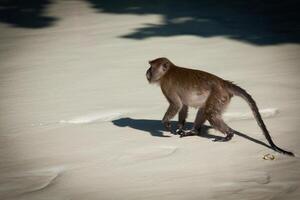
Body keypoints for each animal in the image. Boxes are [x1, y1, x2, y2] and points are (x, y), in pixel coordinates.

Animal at [146, 56, 294, 156]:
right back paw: (194, 131)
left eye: (151, 67)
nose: (147, 72)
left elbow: (176, 104)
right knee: (204, 110)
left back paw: (229, 134)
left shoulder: (167, 85)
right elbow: (183, 106)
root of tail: (223, 83)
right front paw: (180, 128)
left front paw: (166, 123)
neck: (167, 72)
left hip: (219, 96)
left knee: (210, 113)